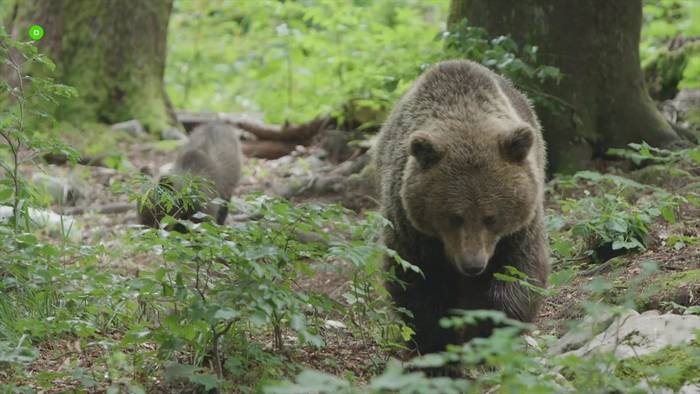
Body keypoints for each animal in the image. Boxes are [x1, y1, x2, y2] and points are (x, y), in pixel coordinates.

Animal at [374, 59, 548, 354]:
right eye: (454, 217)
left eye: (491, 217)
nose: (473, 265)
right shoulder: (410, 229)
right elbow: (416, 285)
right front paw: (437, 344)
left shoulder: (520, 228)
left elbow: (521, 274)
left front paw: (488, 329)